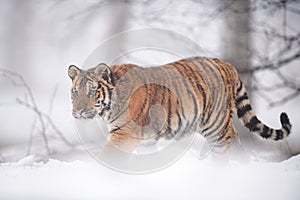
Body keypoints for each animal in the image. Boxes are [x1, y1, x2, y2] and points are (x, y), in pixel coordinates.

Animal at [68, 56, 290, 159]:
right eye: (75, 92)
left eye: (91, 92)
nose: (78, 111)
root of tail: (226, 64)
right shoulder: (144, 139)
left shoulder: (124, 134)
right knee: (234, 138)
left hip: (215, 124)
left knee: (226, 143)